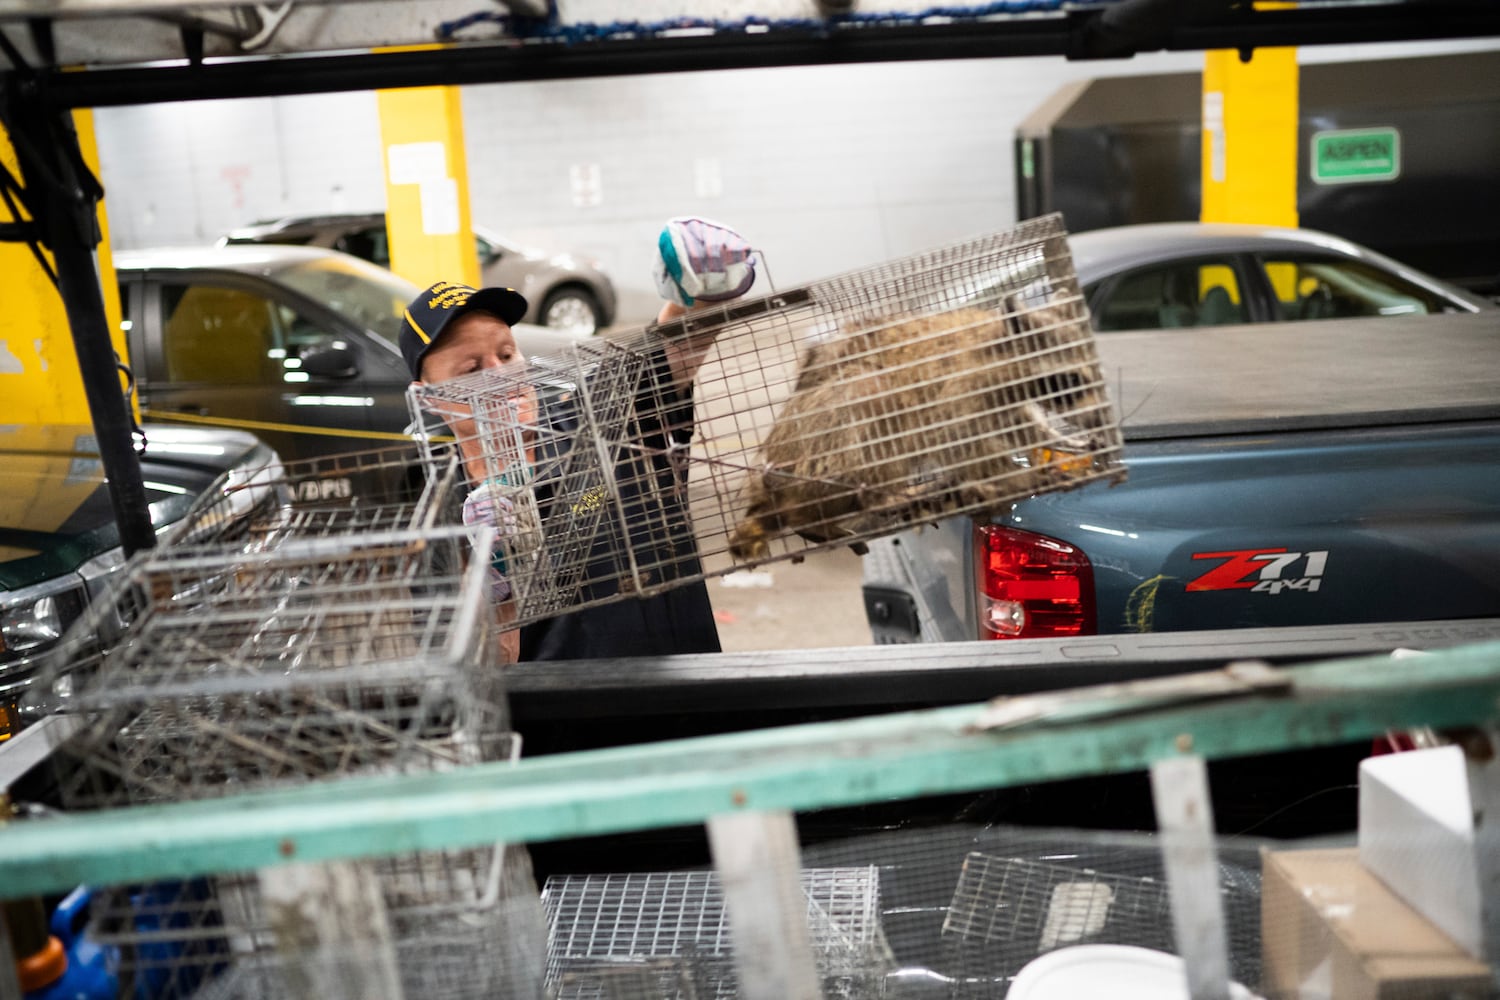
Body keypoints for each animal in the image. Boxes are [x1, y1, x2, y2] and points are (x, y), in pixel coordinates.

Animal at [732, 295, 1122, 563]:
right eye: (1072, 379)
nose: (1099, 421)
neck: (1001, 348)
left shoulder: (1003, 400)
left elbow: (1022, 427)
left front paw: (1061, 441)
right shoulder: (961, 389)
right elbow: (961, 441)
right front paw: (1015, 475)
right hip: (820, 438)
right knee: (867, 402)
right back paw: (882, 496)